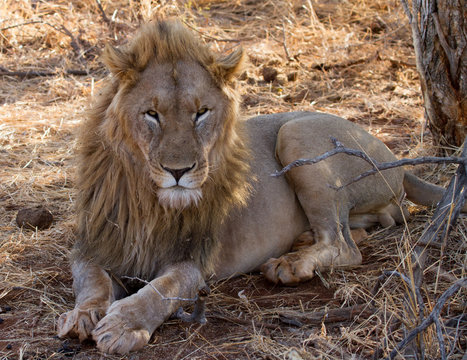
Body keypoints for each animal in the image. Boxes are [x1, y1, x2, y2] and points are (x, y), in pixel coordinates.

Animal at [56, 20, 452, 354]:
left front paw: (123, 326)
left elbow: (161, 290)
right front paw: (83, 316)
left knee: (344, 246)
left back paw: (291, 265)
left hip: (296, 134)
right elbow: (91, 281)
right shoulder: (94, 243)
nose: (178, 171)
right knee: (363, 229)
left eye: (201, 113)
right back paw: (305, 241)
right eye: (152, 114)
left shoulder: (195, 259)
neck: (147, 199)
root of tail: (391, 152)